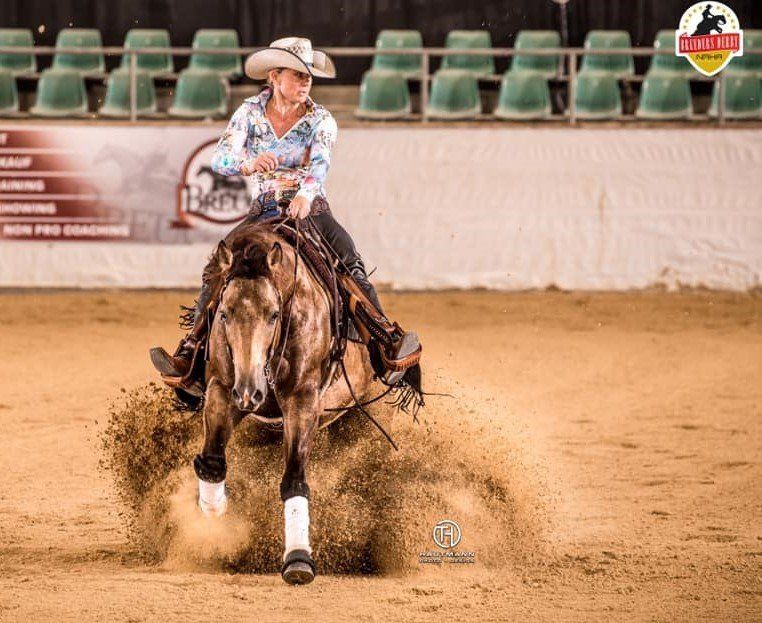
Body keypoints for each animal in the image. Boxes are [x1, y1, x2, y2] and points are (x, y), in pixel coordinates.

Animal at [190, 219, 383, 585]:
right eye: (224, 314)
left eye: (273, 314)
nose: (250, 392)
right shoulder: (222, 389)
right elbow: (212, 463)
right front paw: (216, 534)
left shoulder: (301, 401)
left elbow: (294, 479)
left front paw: (298, 558)